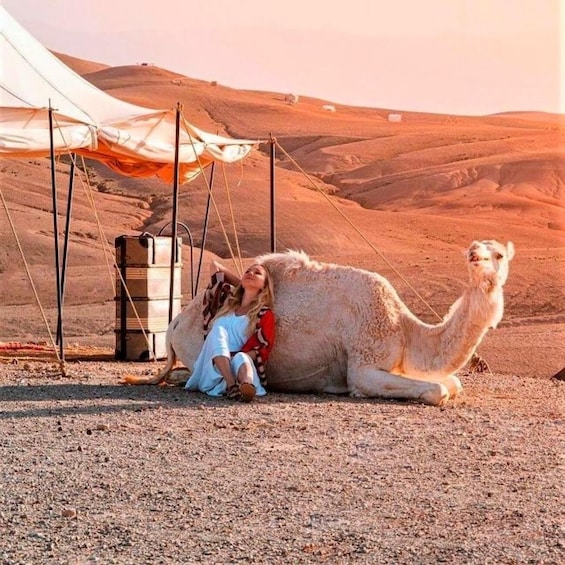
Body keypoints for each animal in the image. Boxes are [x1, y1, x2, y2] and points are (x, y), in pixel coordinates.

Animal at [125, 238, 512, 406]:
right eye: (476, 249)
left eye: (498, 253)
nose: (474, 255)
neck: (404, 329)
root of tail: (176, 322)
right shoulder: (363, 365)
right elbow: (438, 390)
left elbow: (453, 384)